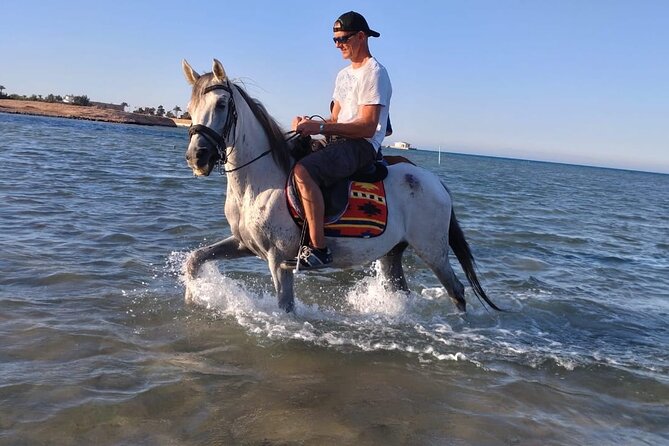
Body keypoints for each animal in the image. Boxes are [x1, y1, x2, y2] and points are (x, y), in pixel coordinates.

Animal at [182, 58, 501, 313]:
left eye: (222, 104)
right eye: (190, 108)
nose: (197, 157)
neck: (257, 184)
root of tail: (434, 181)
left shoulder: (278, 259)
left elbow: (285, 307)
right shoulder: (243, 244)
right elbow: (195, 260)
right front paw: (191, 299)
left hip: (432, 250)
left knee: (457, 291)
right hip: (393, 253)